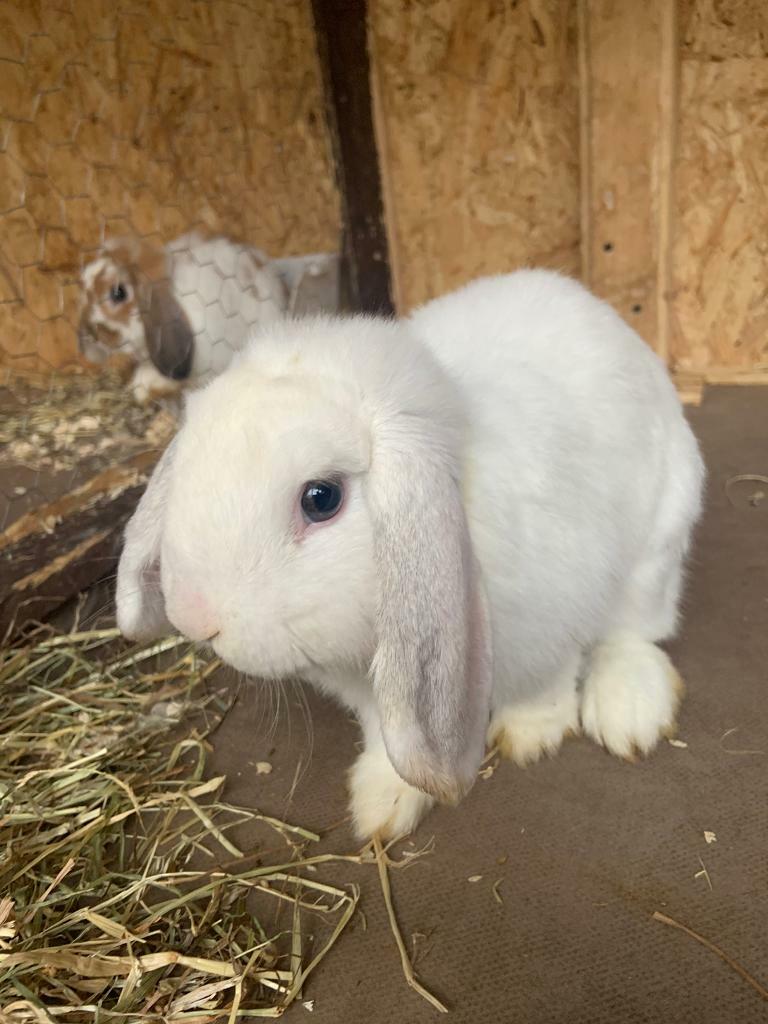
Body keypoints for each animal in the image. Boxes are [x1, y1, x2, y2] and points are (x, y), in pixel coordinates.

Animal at [115, 270, 705, 840]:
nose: (194, 618)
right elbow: (387, 737)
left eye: (321, 498)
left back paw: (630, 712)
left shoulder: (552, 619)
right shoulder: (385, 695)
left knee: (634, 630)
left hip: (658, 545)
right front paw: (382, 803)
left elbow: (546, 686)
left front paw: (529, 735)